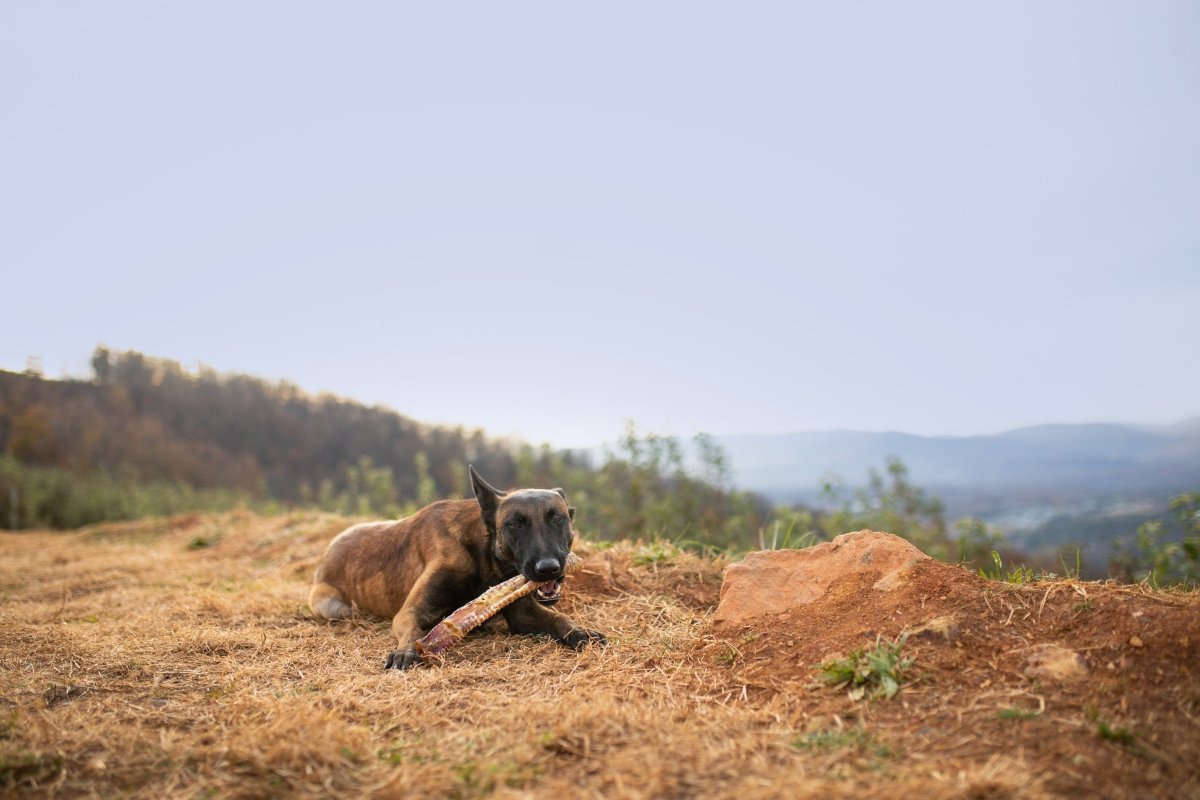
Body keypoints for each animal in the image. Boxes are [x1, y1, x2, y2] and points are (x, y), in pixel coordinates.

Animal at [309, 462, 609, 671]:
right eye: (515, 524)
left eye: (557, 519)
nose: (548, 569)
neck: (482, 556)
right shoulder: (410, 611)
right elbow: (413, 630)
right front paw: (406, 651)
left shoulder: (522, 612)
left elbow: (558, 618)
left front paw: (581, 631)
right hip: (334, 606)